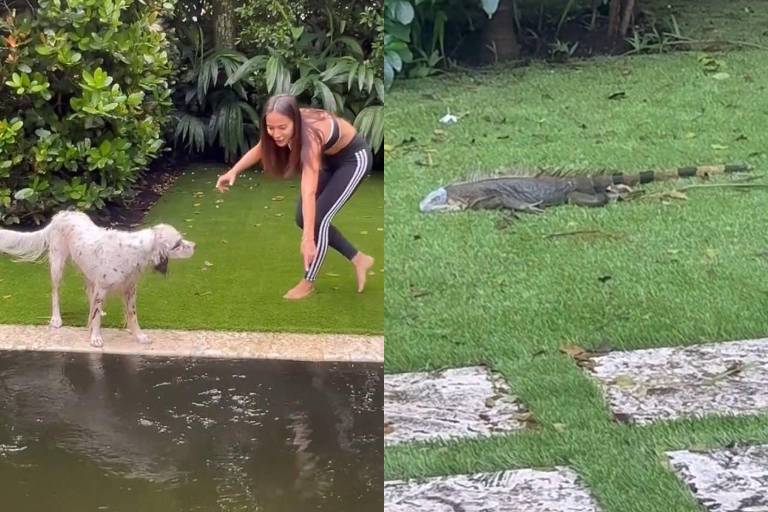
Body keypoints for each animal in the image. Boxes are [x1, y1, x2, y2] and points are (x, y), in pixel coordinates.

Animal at [0, 209, 195, 348]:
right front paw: (95, 338)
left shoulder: (130, 290)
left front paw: (139, 336)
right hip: (57, 265)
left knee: (88, 293)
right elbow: (96, 318)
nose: (195, 246)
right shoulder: (102, 287)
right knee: (56, 292)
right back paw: (56, 319)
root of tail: (60, 214)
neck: (135, 251)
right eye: (177, 244)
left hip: (87, 271)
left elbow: (131, 315)